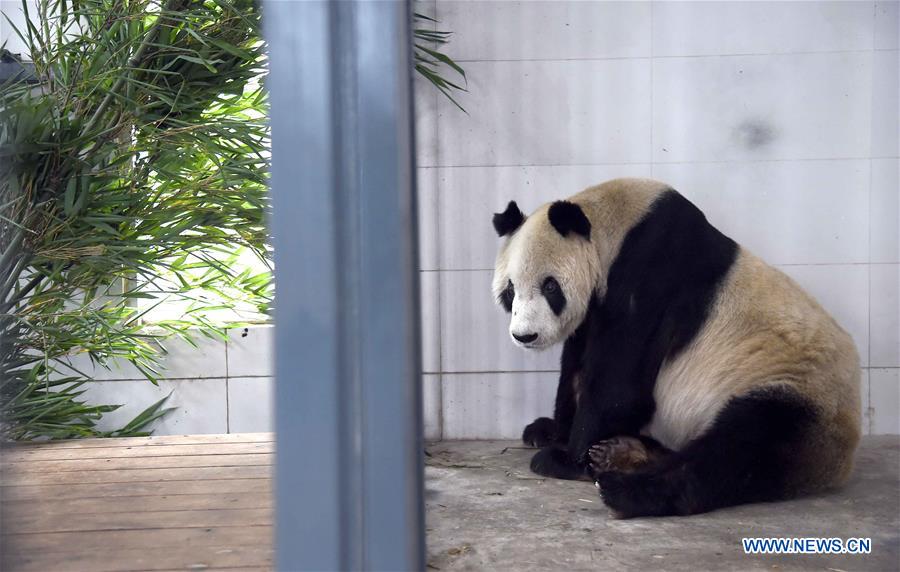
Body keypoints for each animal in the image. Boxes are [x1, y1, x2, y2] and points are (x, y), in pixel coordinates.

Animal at [491, 178, 860, 518]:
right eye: (510, 291)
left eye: (550, 287)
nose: (525, 336)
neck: (615, 227)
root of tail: (841, 463)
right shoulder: (595, 308)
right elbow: (576, 369)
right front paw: (548, 431)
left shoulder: (651, 275)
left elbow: (619, 387)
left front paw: (566, 458)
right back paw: (623, 452)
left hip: (795, 391)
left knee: (740, 447)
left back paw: (626, 489)